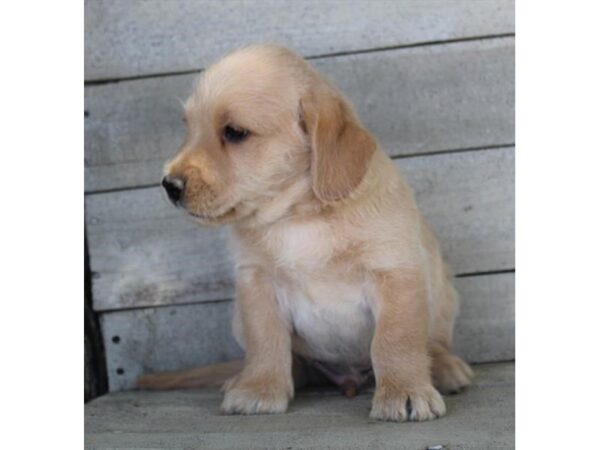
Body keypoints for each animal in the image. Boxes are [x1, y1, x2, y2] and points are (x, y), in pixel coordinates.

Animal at [148, 44, 472, 422]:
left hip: (444, 293)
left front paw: (404, 391)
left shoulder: (394, 272)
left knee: (433, 345)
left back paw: (446, 369)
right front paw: (259, 388)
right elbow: (265, 341)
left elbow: (395, 340)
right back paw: (244, 378)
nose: (169, 185)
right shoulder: (256, 283)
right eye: (188, 127)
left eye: (234, 132)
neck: (298, 214)